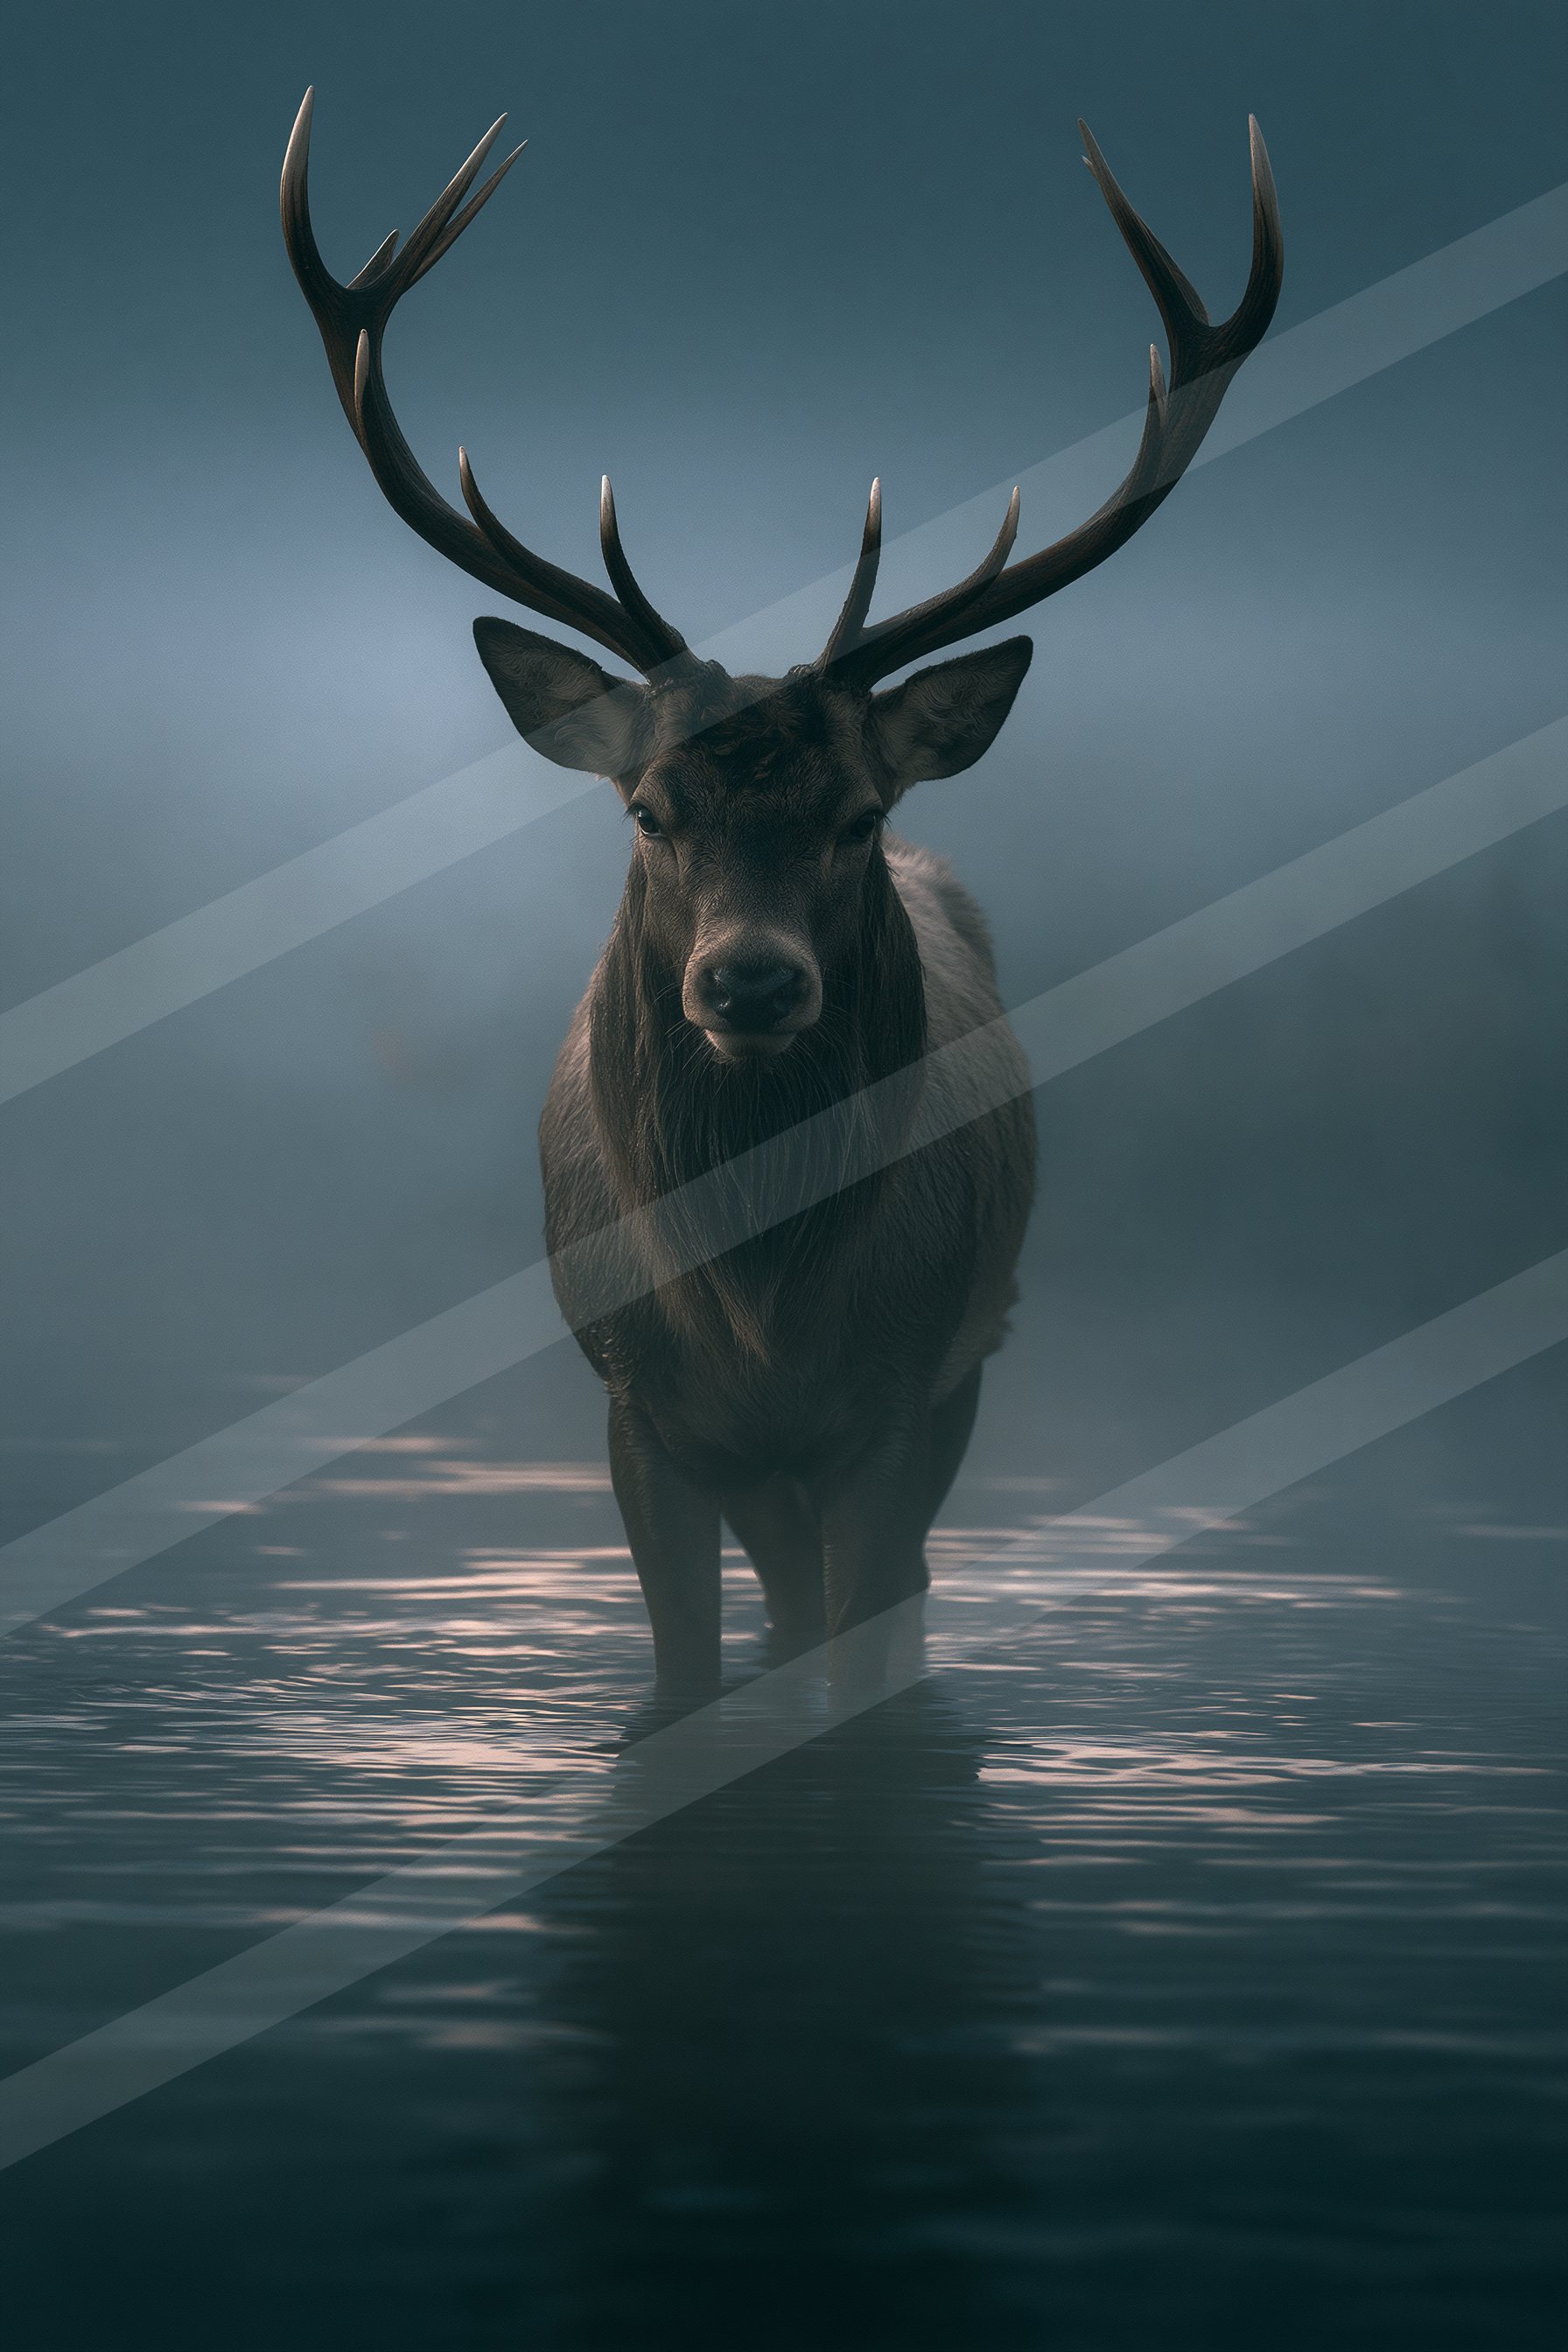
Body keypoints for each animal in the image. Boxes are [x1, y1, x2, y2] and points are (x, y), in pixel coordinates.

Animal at [282, 91, 1282, 1698]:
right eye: (648, 809)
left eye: (858, 815)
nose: (748, 979)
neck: (760, 1315)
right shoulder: (637, 1402)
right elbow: (689, 1671)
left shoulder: (909, 1388)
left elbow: (861, 1659)